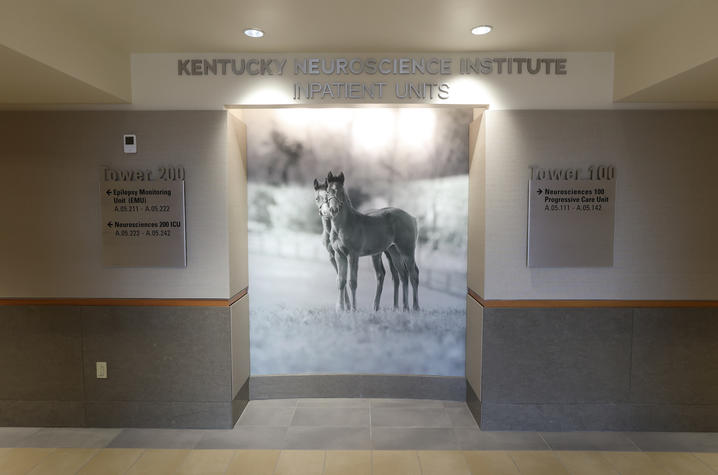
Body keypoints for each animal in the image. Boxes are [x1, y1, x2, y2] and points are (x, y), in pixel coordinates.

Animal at [326, 171, 422, 312]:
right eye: (328, 192)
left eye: (341, 191)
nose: (333, 210)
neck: (346, 224)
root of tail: (412, 218)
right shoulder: (340, 255)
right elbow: (341, 281)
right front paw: (341, 309)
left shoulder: (353, 255)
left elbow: (352, 282)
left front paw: (353, 309)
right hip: (394, 251)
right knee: (403, 275)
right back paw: (405, 308)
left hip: (407, 251)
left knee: (413, 274)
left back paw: (415, 307)